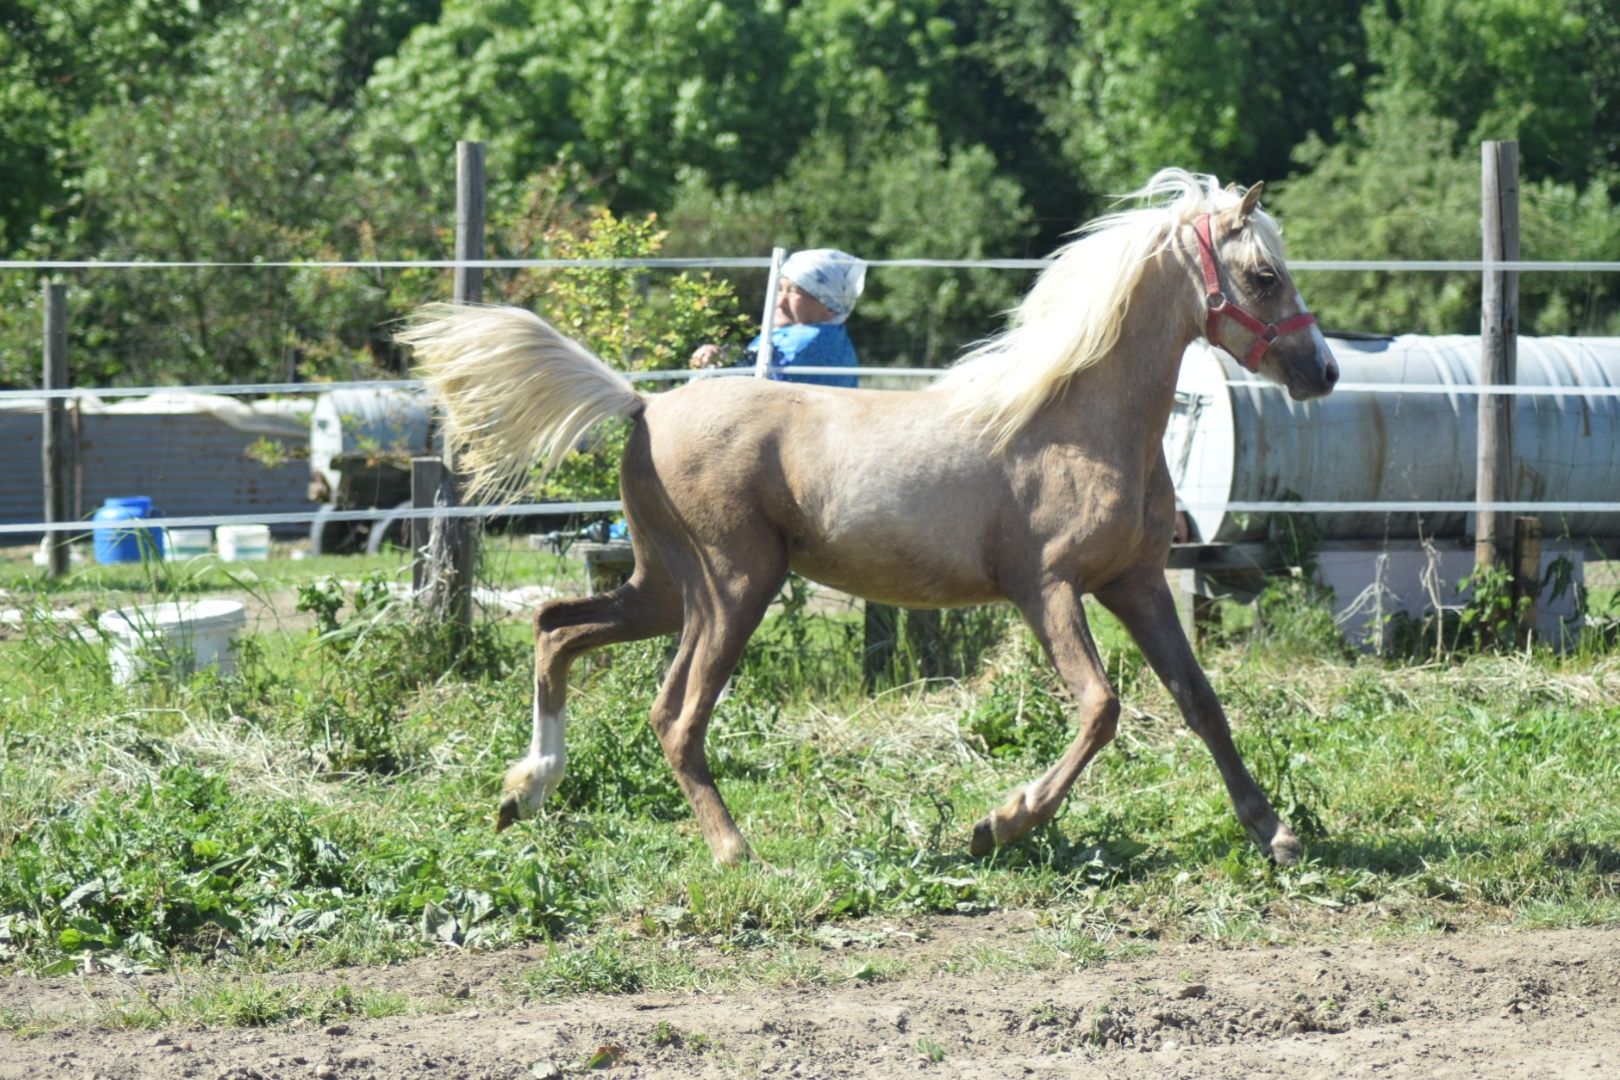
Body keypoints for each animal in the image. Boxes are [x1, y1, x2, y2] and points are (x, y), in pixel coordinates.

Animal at [398, 169, 1334, 867]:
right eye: (1263, 275)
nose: (1320, 370)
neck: (1080, 425)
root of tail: (646, 406)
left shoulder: (1134, 584)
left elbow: (1200, 701)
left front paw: (1277, 833)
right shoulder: (1049, 589)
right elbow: (1102, 708)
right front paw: (999, 823)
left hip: (664, 587)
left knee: (557, 627)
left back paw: (524, 791)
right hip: (734, 586)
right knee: (674, 714)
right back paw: (733, 849)